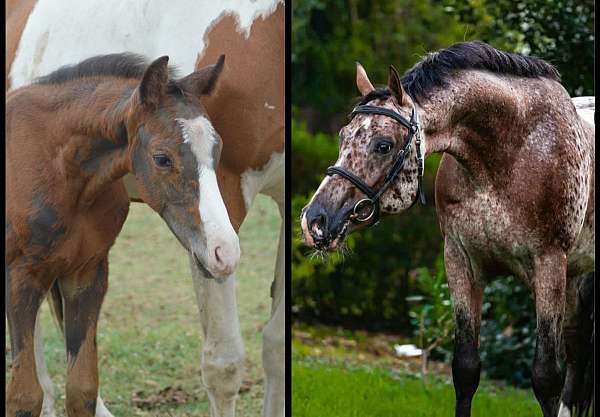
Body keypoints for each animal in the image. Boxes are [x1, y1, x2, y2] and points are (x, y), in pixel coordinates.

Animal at [302, 41, 592, 416]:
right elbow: (466, 368)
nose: (314, 220)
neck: (510, 151)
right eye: (342, 137)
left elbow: (546, 376)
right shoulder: (460, 260)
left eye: (383, 145)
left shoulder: (549, 264)